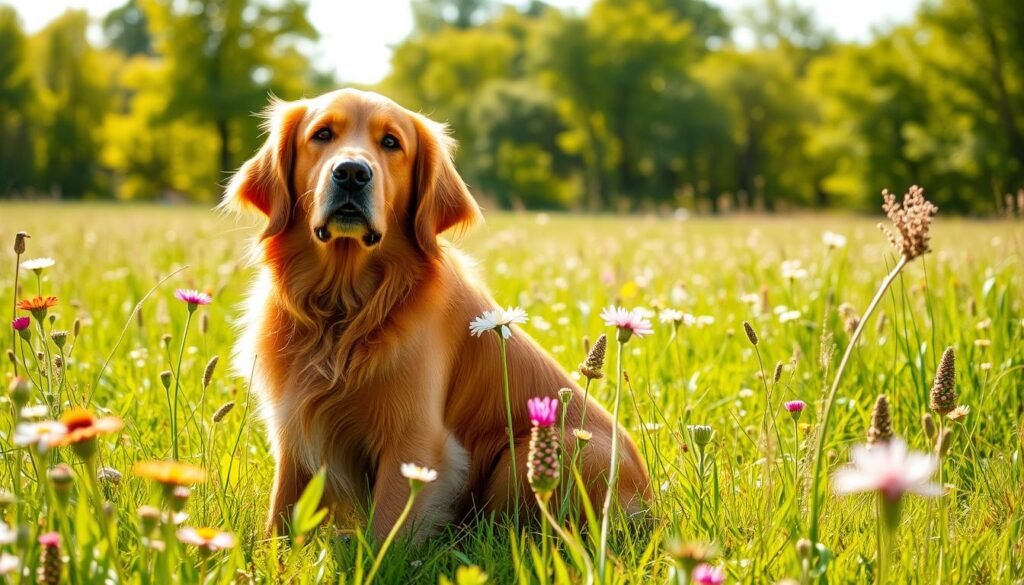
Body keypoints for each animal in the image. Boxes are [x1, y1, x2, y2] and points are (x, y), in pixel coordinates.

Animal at [227, 88, 651, 540]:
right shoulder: (294, 428)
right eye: (322, 134)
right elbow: (282, 512)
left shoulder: (414, 440)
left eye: (391, 142)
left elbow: (386, 530)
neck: (344, 309)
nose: (352, 173)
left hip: (541, 450)